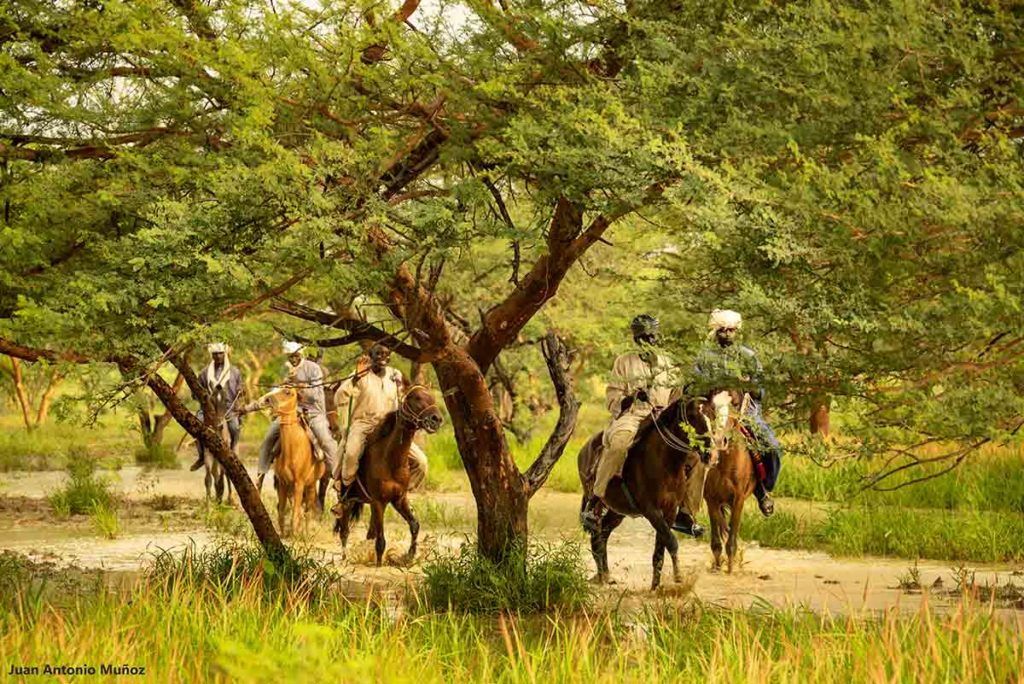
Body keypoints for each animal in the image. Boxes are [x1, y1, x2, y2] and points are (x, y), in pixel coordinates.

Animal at [333, 385, 442, 565]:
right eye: (417, 398)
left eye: (432, 397)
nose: (437, 419)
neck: (390, 460)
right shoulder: (379, 501)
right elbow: (381, 541)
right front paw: (378, 564)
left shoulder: (398, 499)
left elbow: (414, 525)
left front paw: (410, 555)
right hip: (348, 500)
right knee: (344, 530)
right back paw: (344, 557)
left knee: (369, 533)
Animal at [577, 393, 737, 589]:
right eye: (692, 416)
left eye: (712, 416)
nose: (711, 455)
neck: (665, 463)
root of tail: (585, 448)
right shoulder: (651, 511)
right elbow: (671, 542)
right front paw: (678, 577)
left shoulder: (670, 511)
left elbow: (660, 550)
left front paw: (655, 586)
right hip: (598, 501)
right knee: (596, 532)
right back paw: (601, 577)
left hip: (617, 512)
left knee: (602, 534)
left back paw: (605, 575)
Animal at [704, 389, 761, 573]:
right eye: (713, 405)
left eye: (735, 404)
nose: (720, 440)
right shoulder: (711, 500)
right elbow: (717, 539)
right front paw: (717, 566)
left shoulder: (738, 501)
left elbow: (731, 538)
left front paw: (730, 568)